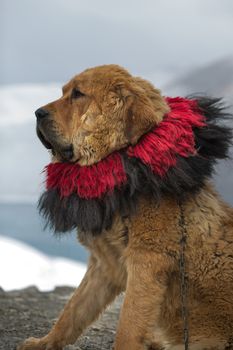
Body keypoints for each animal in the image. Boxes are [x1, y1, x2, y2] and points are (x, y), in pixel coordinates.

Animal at [17, 64, 233, 348]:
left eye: (78, 94)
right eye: (63, 92)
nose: (37, 113)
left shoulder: (147, 261)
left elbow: (128, 324)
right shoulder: (104, 265)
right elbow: (73, 311)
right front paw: (45, 342)